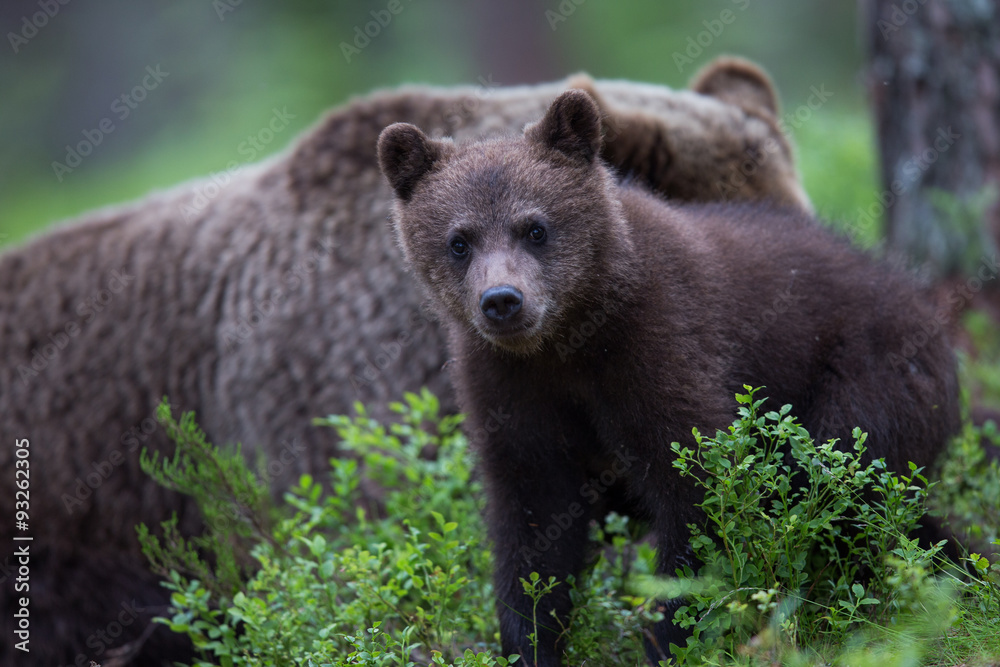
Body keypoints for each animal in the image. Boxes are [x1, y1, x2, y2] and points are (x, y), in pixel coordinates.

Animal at [377, 89, 960, 665]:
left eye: (535, 228)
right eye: (459, 240)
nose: (502, 300)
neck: (566, 342)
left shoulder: (657, 346)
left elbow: (699, 489)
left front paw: (670, 635)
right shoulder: (508, 384)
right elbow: (533, 519)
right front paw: (531, 640)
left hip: (865, 378)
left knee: (847, 489)